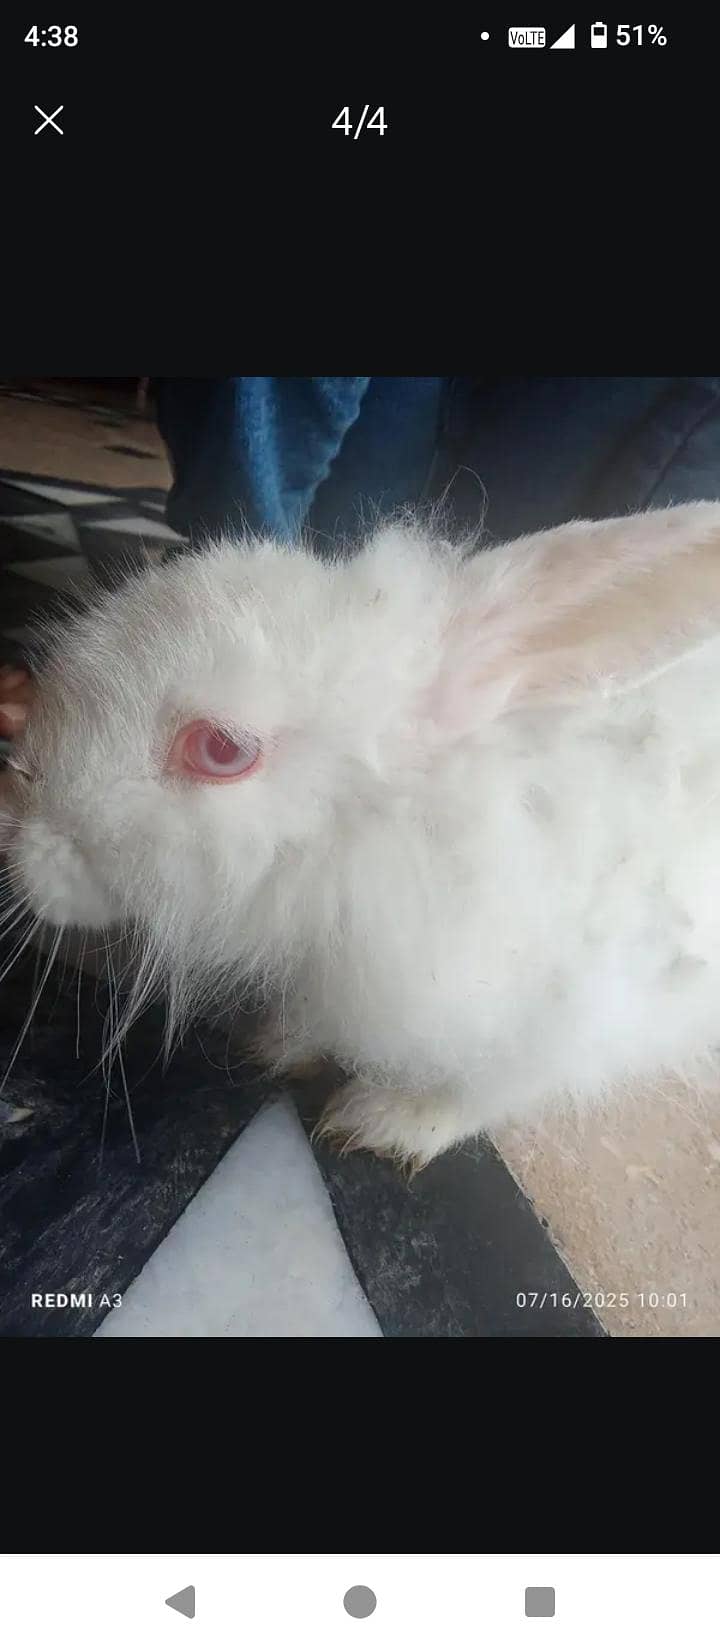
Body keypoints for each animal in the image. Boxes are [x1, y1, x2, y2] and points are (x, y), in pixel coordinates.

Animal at [4, 500, 720, 1169]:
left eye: (220, 750)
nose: (19, 843)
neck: (400, 828)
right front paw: (278, 1044)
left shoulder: (568, 1014)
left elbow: (484, 1090)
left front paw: (385, 1122)